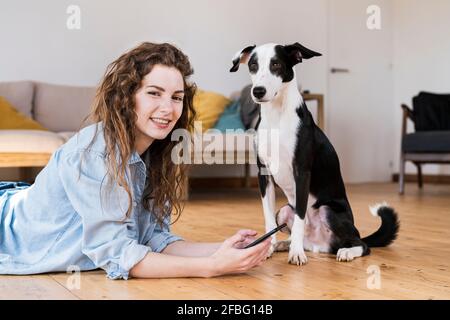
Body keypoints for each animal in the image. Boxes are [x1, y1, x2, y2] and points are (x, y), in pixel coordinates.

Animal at [230, 43, 400, 264]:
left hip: (329, 211)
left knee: (362, 245)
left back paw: (344, 251)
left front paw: (296, 254)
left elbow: (301, 217)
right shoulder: (263, 174)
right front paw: (267, 248)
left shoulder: (302, 172)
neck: (277, 116)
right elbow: (268, 219)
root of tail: (320, 245)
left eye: (276, 64)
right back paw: (285, 244)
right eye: (253, 65)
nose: (258, 91)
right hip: (284, 210)